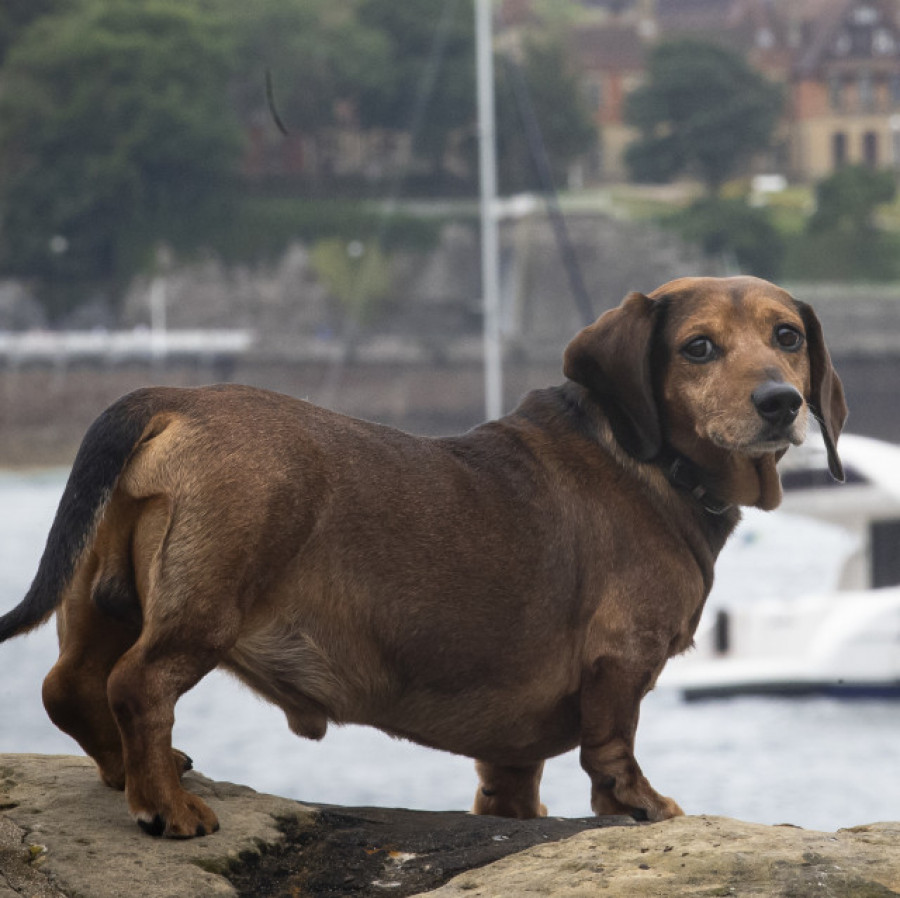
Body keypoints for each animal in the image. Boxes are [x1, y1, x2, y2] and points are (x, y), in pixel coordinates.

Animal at [0, 272, 844, 832]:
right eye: (698, 347)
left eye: (788, 336)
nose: (780, 402)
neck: (646, 462)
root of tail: (174, 399)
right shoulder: (622, 659)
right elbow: (614, 746)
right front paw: (640, 804)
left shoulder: (512, 747)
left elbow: (512, 791)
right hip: (204, 606)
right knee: (137, 685)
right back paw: (167, 807)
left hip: (106, 595)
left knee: (69, 686)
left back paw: (129, 775)